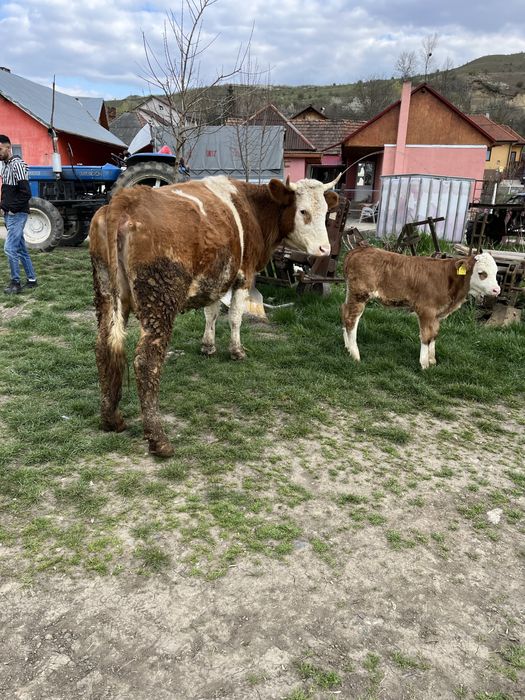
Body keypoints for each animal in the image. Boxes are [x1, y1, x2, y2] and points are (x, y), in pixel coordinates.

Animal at [89, 175, 339, 457]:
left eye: (326, 212)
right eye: (303, 211)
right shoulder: (243, 275)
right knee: (146, 361)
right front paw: (236, 350)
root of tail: (124, 202)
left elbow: (211, 312)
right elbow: (235, 317)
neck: (251, 207)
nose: (325, 248)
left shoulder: (215, 279)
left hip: (107, 293)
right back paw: (159, 440)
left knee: (103, 348)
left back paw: (111, 419)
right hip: (159, 300)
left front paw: (208, 345)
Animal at [341, 247, 501, 370]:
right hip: (360, 295)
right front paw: (424, 364)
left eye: (496, 272)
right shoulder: (426, 310)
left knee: (344, 312)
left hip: (351, 293)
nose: (497, 290)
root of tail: (360, 249)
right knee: (351, 320)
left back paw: (347, 348)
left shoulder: (437, 314)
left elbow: (434, 334)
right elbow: (426, 335)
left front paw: (432, 360)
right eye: (482, 273)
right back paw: (355, 354)